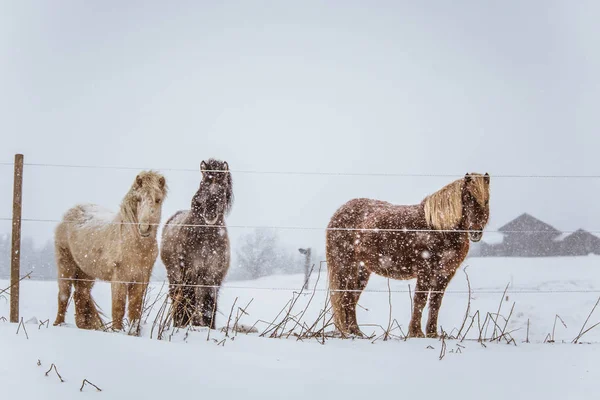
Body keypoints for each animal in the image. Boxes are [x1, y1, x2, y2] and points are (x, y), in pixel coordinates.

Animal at [53, 170, 168, 332]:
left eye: (158, 200)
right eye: (138, 199)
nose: (144, 228)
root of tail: (71, 212)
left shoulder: (141, 279)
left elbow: (135, 309)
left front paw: (134, 333)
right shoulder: (119, 277)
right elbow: (118, 307)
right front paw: (117, 331)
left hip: (86, 272)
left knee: (81, 294)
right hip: (65, 265)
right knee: (64, 295)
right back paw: (58, 324)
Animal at [159, 159, 234, 328]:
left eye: (222, 186)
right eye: (203, 183)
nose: (210, 213)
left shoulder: (213, 276)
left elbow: (209, 305)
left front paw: (208, 327)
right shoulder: (189, 273)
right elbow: (189, 301)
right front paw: (186, 325)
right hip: (174, 275)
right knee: (177, 299)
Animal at [326, 172, 490, 338]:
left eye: (486, 200)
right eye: (467, 197)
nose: (476, 232)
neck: (439, 228)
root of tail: (338, 214)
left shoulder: (445, 273)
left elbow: (435, 302)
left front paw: (432, 333)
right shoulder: (425, 270)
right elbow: (420, 300)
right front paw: (416, 332)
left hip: (361, 269)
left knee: (350, 297)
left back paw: (355, 332)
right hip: (346, 265)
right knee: (346, 297)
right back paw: (352, 333)